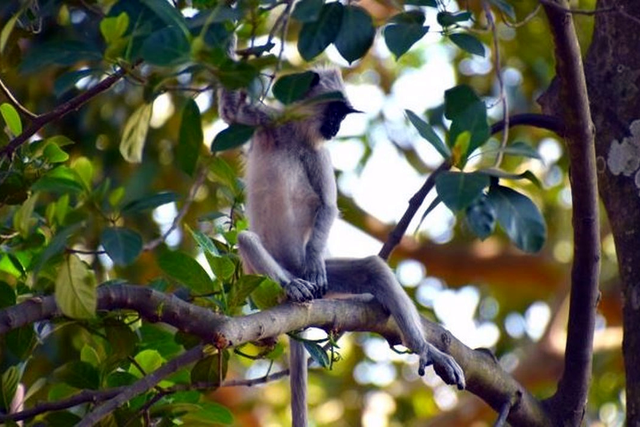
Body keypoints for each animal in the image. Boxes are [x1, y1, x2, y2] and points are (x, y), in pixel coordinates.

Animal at [217, 45, 465, 427]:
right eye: (335, 112)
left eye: (343, 117)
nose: (335, 128)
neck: (295, 135)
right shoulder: (266, 122)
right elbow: (230, 110)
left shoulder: (320, 153)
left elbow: (329, 207)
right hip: (261, 274)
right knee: (247, 240)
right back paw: (293, 287)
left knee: (372, 269)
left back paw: (426, 350)